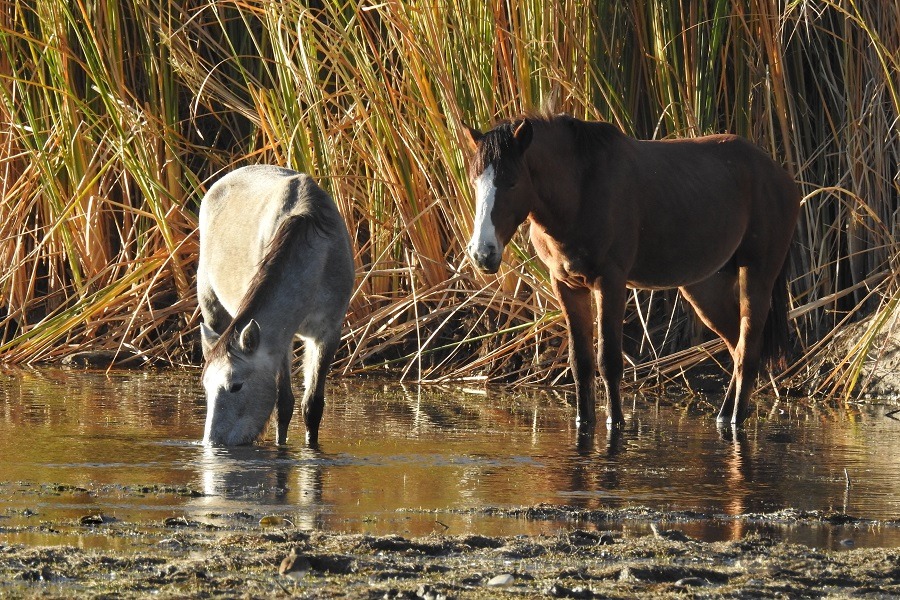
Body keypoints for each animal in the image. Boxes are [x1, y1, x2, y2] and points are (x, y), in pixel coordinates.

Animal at [468, 113, 800, 426]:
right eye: (475, 182)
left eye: (512, 181)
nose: (482, 253)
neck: (581, 191)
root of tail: (779, 174)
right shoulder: (566, 284)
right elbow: (581, 363)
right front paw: (584, 422)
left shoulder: (610, 282)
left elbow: (608, 362)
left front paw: (616, 424)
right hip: (706, 287)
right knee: (736, 345)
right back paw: (723, 415)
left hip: (757, 276)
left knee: (748, 353)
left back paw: (734, 421)